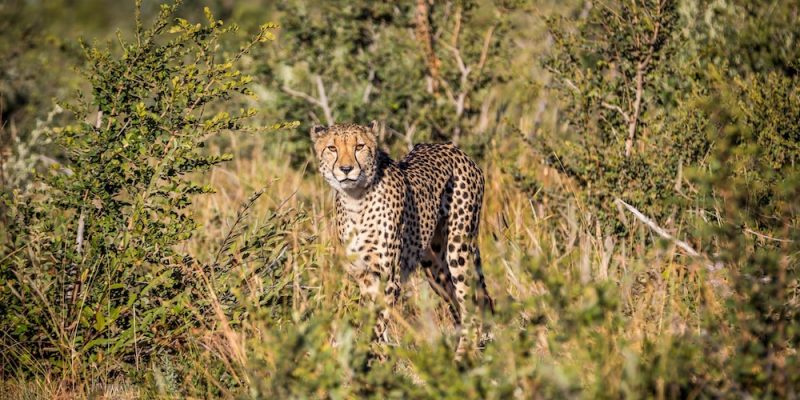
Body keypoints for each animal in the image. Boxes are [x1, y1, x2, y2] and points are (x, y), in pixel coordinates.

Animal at [312, 121, 494, 356]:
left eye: (359, 146)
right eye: (332, 148)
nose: (346, 169)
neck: (356, 200)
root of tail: (452, 147)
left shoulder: (389, 276)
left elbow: (376, 323)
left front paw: (366, 354)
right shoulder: (364, 276)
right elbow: (371, 319)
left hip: (459, 249)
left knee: (471, 304)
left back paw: (462, 356)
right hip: (436, 268)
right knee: (461, 306)